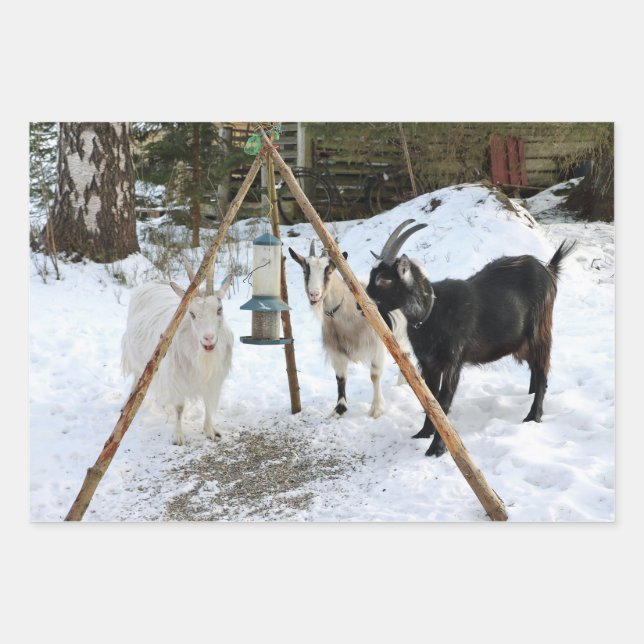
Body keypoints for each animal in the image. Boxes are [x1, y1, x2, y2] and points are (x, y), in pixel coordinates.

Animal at [121, 260, 234, 445]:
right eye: (192, 314)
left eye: (219, 309)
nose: (208, 338)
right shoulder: (176, 379)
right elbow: (179, 408)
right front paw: (178, 436)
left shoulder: (214, 379)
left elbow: (209, 403)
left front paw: (210, 430)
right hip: (138, 358)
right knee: (137, 379)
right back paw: (127, 405)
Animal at [289, 240, 410, 419]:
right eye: (305, 270)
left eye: (328, 271)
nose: (314, 294)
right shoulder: (336, 351)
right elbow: (340, 377)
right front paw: (339, 409)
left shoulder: (378, 345)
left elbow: (374, 376)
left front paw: (377, 409)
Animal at [365, 219, 576, 457]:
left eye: (384, 280)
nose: (363, 302)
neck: (432, 311)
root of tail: (548, 268)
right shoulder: (428, 363)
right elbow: (431, 399)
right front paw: (424, 433)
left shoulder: (453, 362)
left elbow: (444, 401)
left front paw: (436, 448)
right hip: (520, 343)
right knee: (537, 368)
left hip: (539, 331)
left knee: (542, 369)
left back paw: (533, 416)